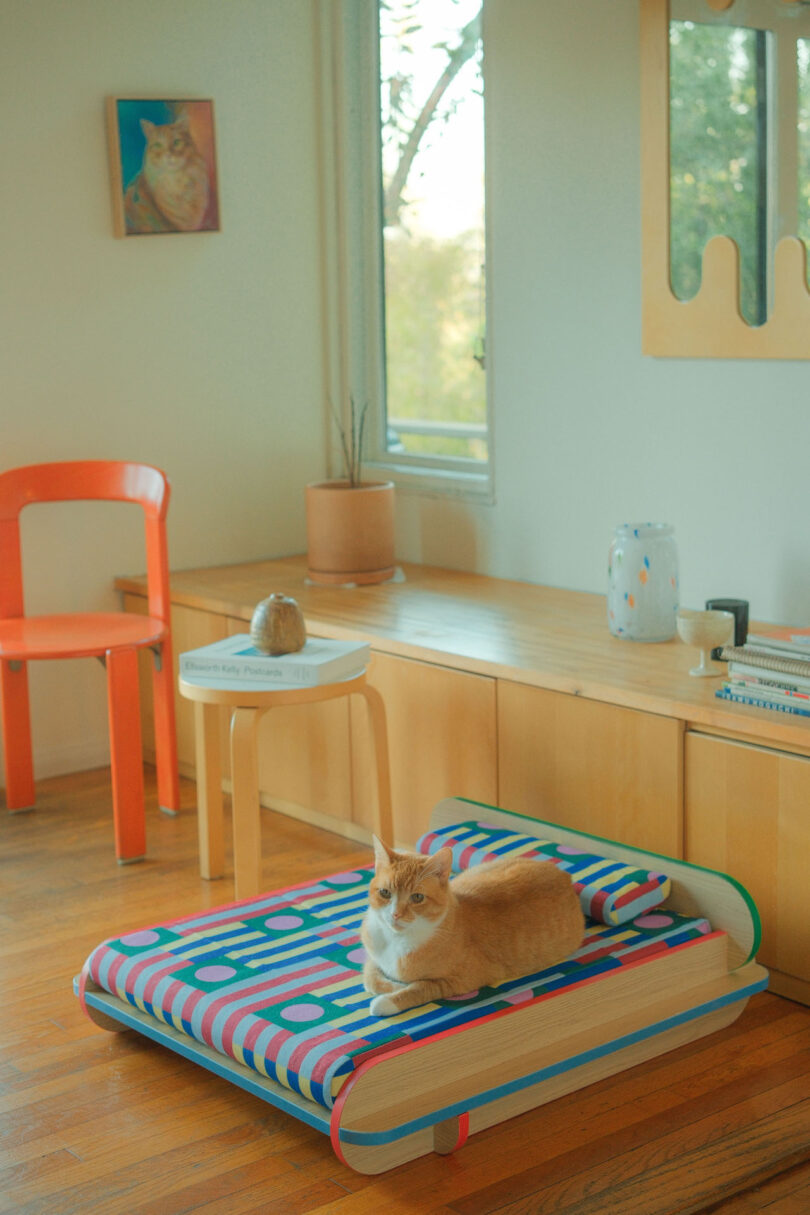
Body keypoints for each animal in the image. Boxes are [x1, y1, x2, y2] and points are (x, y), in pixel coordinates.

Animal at [361, 835, 582, 1015]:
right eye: (385, 893)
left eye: (417, 897)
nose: (395, 914)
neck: (397, 940)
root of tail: (565, 875)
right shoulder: (373, 959)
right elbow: (371, 979)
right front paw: (395, 985)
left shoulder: (457, 982)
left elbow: (419, 988)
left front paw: (387, 1001)